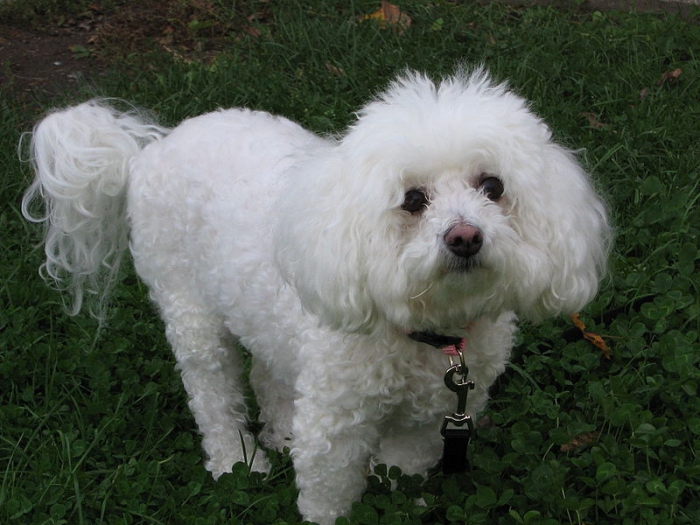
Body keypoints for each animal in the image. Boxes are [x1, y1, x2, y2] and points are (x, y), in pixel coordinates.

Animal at [23, 69, 608, 524]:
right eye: (413, 200)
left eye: (493, 187)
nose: (465, 237)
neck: (426, 328)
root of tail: (148, 149)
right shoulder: (335, 426)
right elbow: (329, 495)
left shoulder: (424, 424)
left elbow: (402, 474)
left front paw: (401, 504)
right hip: (189, 309)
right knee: (212, 393)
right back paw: (238, 460)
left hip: (257, 309)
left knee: (268, 372)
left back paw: (280, 433)